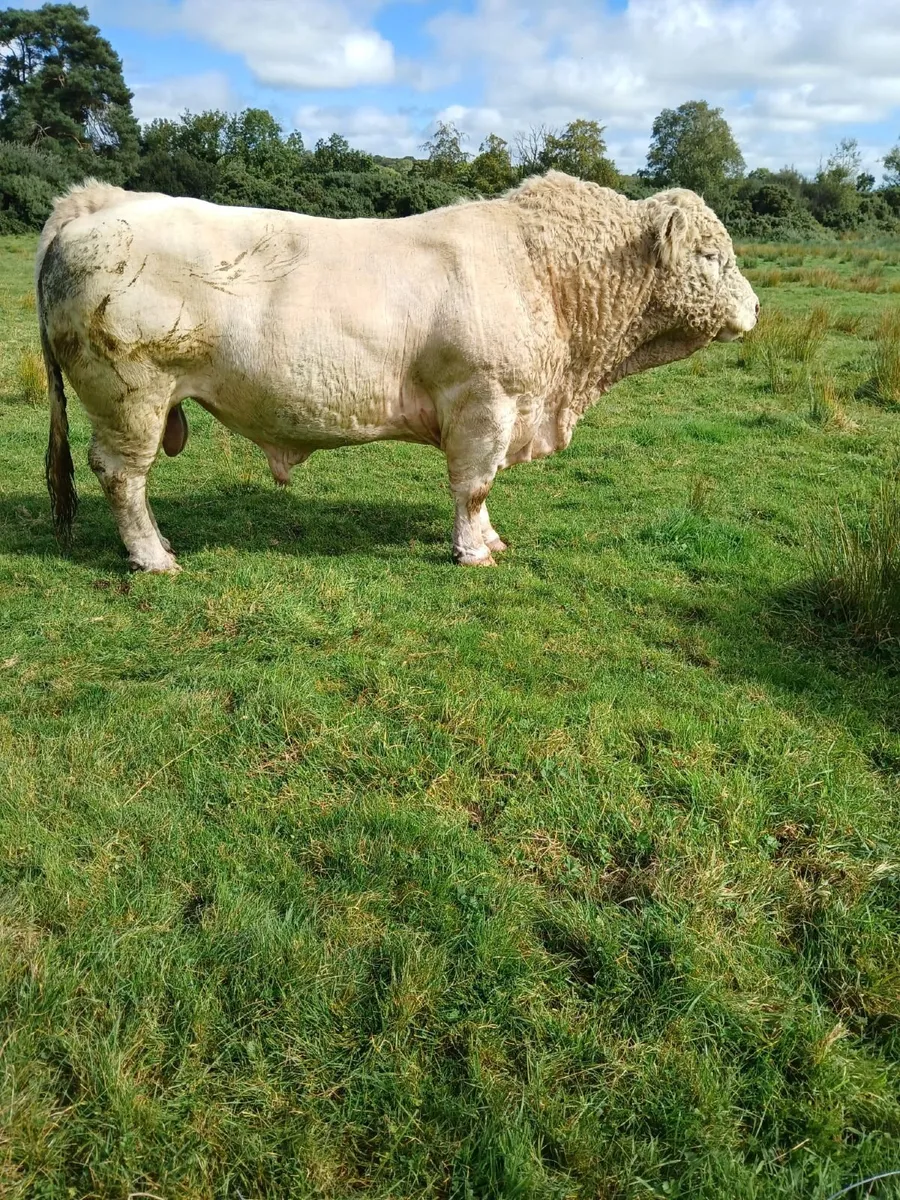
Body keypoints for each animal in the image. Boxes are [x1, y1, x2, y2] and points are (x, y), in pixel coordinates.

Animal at [36, 171, 758, 572]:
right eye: (711, 256)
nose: (755, 306)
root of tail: (101, 203)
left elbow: (482, 490)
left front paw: (491, 540)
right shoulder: (484, 400)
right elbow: (473, 485)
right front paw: (473, 552)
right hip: (131, 396)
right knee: (122, 477)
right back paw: (154, 557)